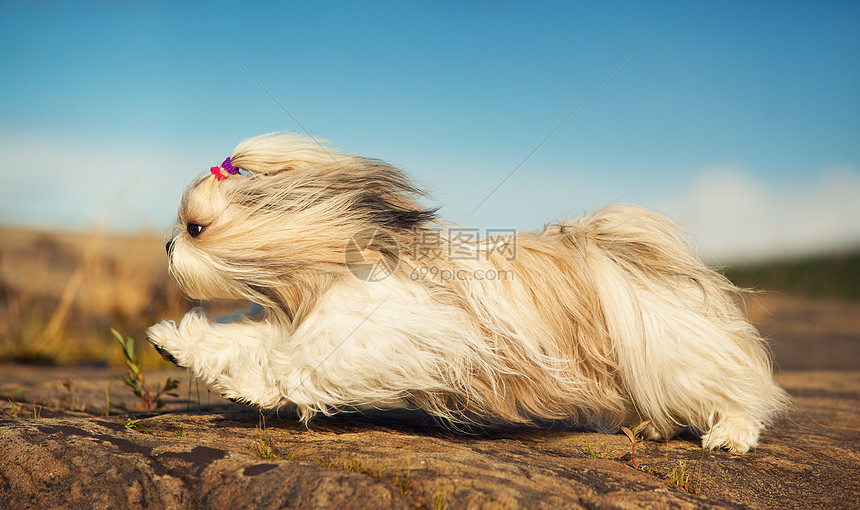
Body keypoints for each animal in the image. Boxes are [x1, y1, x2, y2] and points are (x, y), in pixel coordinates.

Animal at [146, 131, 788, 450]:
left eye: (195, 227)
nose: (169, 247)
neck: (323, 270)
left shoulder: (377, 335)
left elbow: (293, 368)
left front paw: (250, 388)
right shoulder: (302, 321)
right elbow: (243, 341)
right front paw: (171, 341)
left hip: (673, 348)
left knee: (736, 391)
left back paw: (729, 435)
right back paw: (652, 426)